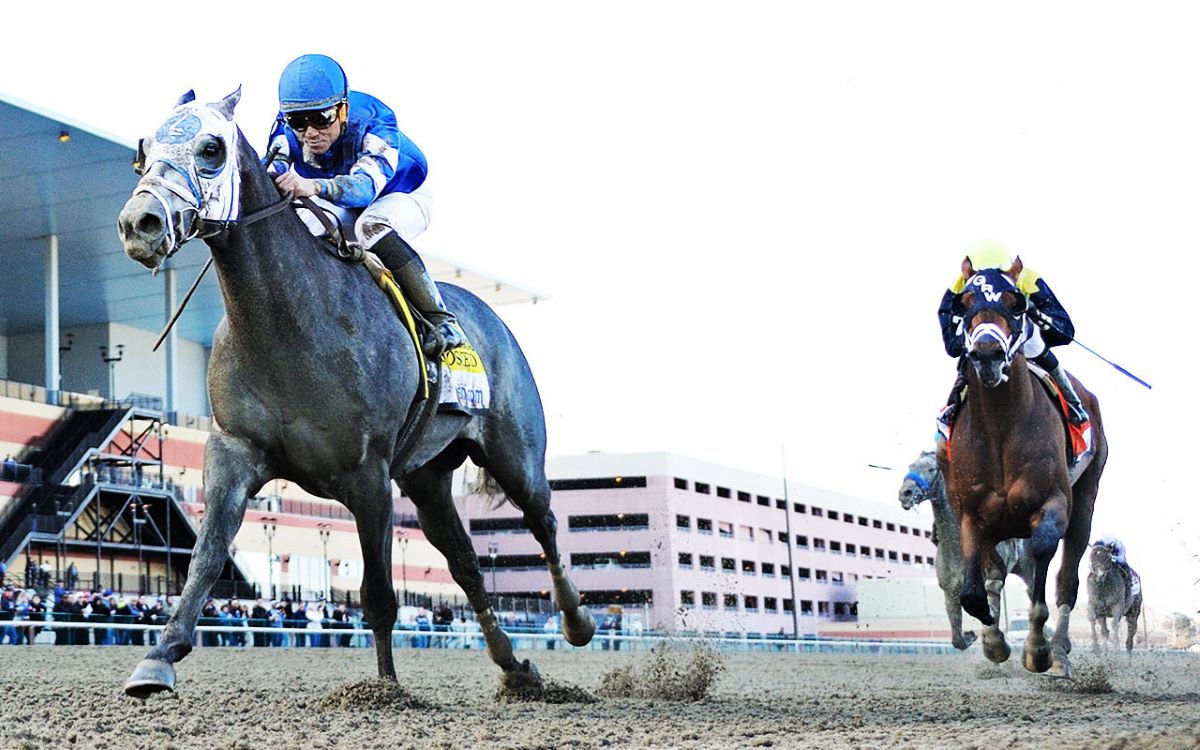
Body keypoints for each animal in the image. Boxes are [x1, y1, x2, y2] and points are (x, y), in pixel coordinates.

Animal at [117, 89, 595, 696]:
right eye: (143, 152)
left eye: (211, 148)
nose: (140, 223)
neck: (287, 321)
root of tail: (492, 319)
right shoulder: (234, 451)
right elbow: (206, 558)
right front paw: (157, 658)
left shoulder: (368, 475)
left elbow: (379, 596)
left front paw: (386, 690)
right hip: (426, 478)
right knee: (465, 563)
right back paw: (513, 665)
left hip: (515, 454)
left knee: (545, 521)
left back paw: (577, 620)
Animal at [897, 451, 1036, 652]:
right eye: (911, 466)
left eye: (931, 469)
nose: (905, 494)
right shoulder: (950, 590)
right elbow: (957, 638)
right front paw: (970, 636)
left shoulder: (992, 576)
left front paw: (996, 646)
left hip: (1027, 567)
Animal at [936, 266, 1104, 676]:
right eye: (964, 303)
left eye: (1017, 303)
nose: (987, 355)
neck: (1001, 427)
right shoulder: (972, 515)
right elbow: (973, 592)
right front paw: (992, 640)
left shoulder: (1053, 503)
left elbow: (1042, 556)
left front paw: (1037, 648)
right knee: (994, 575)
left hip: (1085, 501)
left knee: (1066, 580)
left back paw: (1059, 650)